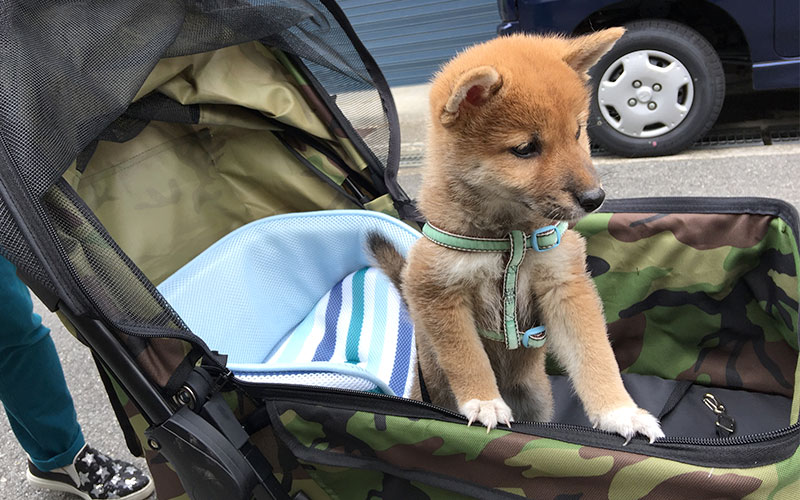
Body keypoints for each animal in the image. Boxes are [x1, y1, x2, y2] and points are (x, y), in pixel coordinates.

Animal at [372, 29, 664, 442]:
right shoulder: (437, 291)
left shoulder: (564, 285)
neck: (507, 241)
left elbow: (594, 356)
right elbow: (467, 357)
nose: (595, 198)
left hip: (537, 398)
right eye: (526, 148)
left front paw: (620, 412)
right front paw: (484, 402)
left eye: (577, 132)